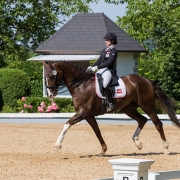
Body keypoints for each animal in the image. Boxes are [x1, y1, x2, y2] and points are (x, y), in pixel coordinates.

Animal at [42, 60, 180, 155]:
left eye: (51, 76)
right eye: (45, 77)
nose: (50, 94)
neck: (80, 85)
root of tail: (147, 81)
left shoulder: (83, 112)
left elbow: (67, 124)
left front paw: (57, 145)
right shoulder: (89, 115)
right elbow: (97, 131)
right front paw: (103, 150)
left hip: (147, 106)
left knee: (157, 123)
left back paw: (166, 149)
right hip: (128, 109)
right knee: (142, 120)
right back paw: (138, 143)